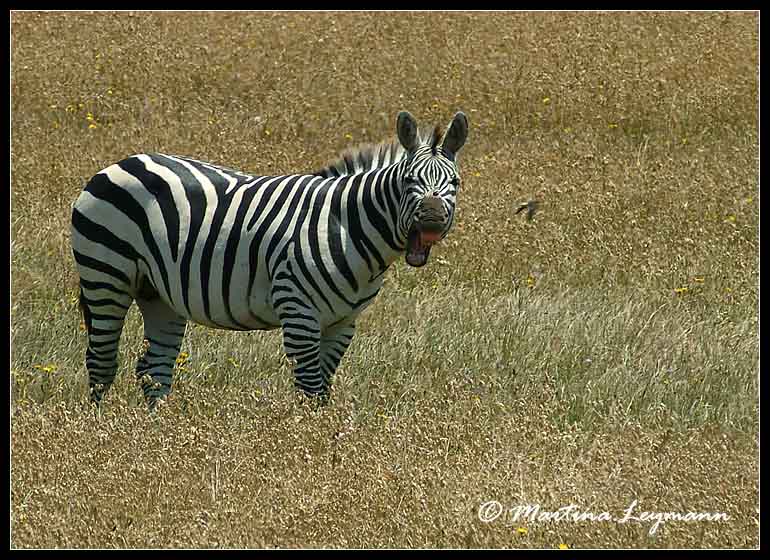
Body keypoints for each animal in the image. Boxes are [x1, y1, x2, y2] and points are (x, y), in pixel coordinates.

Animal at [72, 110, 468, 406]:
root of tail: (122, 162)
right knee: (101, 361)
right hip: (105, 275)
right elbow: (309, 389)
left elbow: (322, 390)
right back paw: (103, 431)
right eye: (408, 180)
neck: (347, 224)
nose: (432, 217)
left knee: (154, 368)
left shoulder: (343, 322)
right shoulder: (298, 310)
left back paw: (157, 432)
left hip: (158, 293)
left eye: (456, 183)